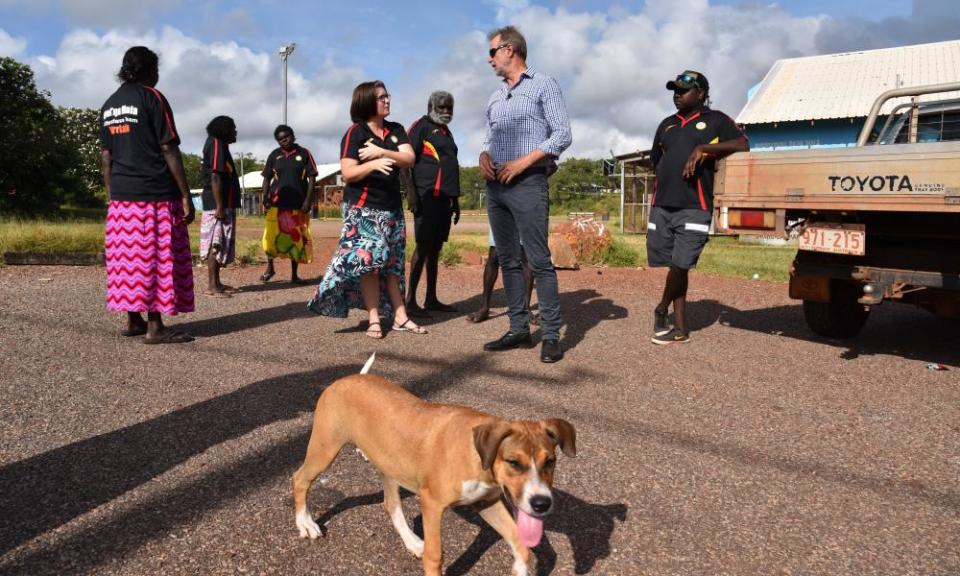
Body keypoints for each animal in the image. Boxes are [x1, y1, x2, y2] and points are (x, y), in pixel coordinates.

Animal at [292, 354, 572, 572]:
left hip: (391, 463)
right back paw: (305, 523)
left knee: (391, 504)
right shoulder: (432, 504)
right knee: (300, 479)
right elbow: (435, 555)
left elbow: (521, 544)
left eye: (550, 461)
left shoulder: (487, 502)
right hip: (324, 450)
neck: (477, 455)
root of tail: (347, 379)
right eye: (514, 462)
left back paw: (413, 542)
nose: (542, 503)